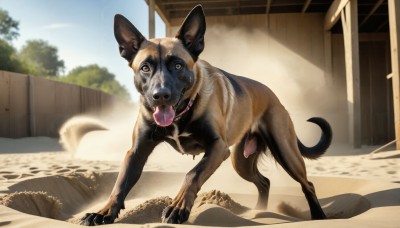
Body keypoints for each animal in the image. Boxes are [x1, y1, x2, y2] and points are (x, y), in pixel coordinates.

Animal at [80, 4, 332, 225]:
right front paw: (103, 212)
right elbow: (120, 184)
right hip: (241, 161)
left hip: (285, 152)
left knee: (307, 184)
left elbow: (192, 174)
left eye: (178, 66)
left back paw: (319, 216)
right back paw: (259, 211)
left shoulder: (217, 148)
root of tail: (275, 97)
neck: (182, 113)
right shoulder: (136, 151)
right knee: (264, 182)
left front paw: (178, 207)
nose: (160, 95)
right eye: (145, 67)